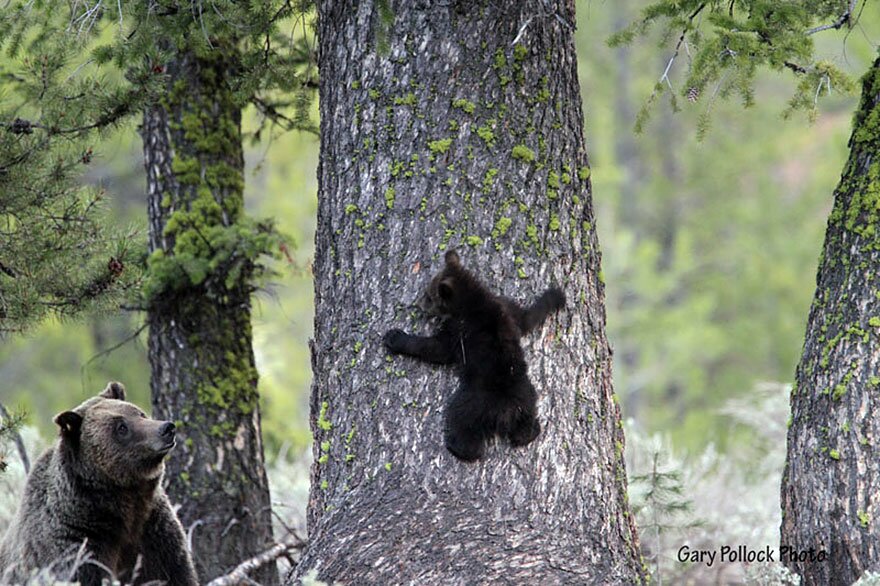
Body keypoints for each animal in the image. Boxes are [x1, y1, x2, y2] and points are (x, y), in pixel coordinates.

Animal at [0, 380, 198, 580]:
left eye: (140, 413)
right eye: (121, 427)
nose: (167, 428)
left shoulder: (155, 534)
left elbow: (175, 571)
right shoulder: (78, 542)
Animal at [384, 249, 564, 458]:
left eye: (429, 296)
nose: (418, 303)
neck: (473, 298)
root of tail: (508, 410)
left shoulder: (459, 329)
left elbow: (437, 349)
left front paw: (395, 337)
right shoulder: (505, 308)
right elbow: (528, 316)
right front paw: (555, 295)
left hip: (472, 403)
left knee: (462, 422)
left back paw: (458, 447)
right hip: (529, 397)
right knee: (528, 426)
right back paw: (529, 433)